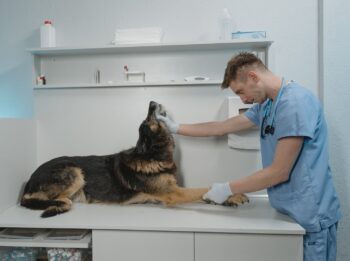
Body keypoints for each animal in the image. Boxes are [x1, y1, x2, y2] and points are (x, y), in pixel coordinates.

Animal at [19, 100, 249, 216]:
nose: (152, 101)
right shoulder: (174, 193)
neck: (153, 155)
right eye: (148, 120)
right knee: (34, 199)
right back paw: (59, 203)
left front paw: (229, 197)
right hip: (74, 171)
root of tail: (29, 179)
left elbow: (205, 193)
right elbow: (201, 189)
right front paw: (230, 194)